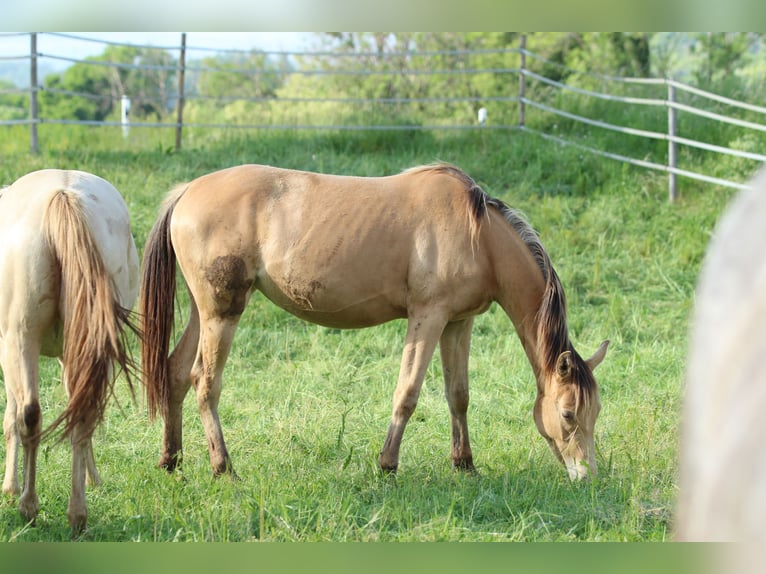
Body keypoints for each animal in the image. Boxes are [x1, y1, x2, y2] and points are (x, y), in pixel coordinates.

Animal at [0, 169, 139, 534]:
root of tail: (63, 196)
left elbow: (11, 414)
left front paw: (10, 487)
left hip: (22, 339)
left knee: (30, 414)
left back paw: (29, 507)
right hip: (95, 341)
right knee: (84, 413)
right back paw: (78, 514)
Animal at [140, 162, 608, 482]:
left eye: (595, 411)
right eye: (568, 413)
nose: (585, 475)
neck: (479, 236)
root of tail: (187, 191)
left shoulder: (458, 324)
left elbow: (458, 395)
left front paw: (465, 466)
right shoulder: (427, 317)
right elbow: (407, 393)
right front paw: (387, 465)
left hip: (204, 313)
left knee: (176, 373)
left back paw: (171, 460)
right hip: (222, 314)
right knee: (205, 383)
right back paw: (223, 468)